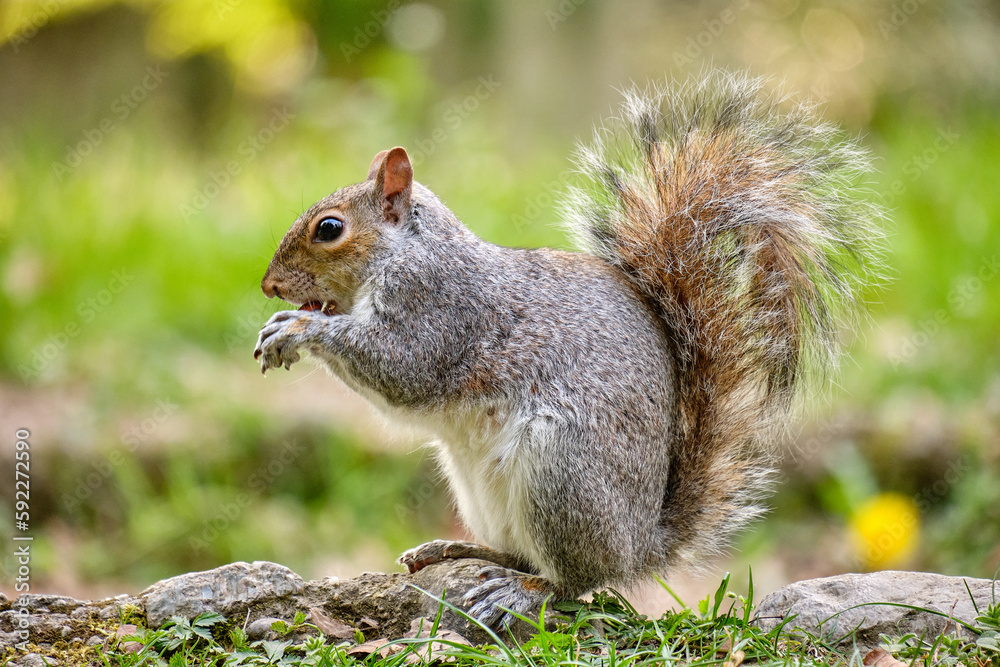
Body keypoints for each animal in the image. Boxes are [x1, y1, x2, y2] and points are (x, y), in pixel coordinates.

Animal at [254, 70, 880, 628]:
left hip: (561, 471)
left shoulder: (439, 306)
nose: (269, 286)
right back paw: (460, 552)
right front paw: (282, 325)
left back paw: (522, 593)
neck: (407, 251)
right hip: (480, 487)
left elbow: (403, 369)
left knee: (575, 580)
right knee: (521, 554)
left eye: (329, 229)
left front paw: (297, 329)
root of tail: (640, 544)